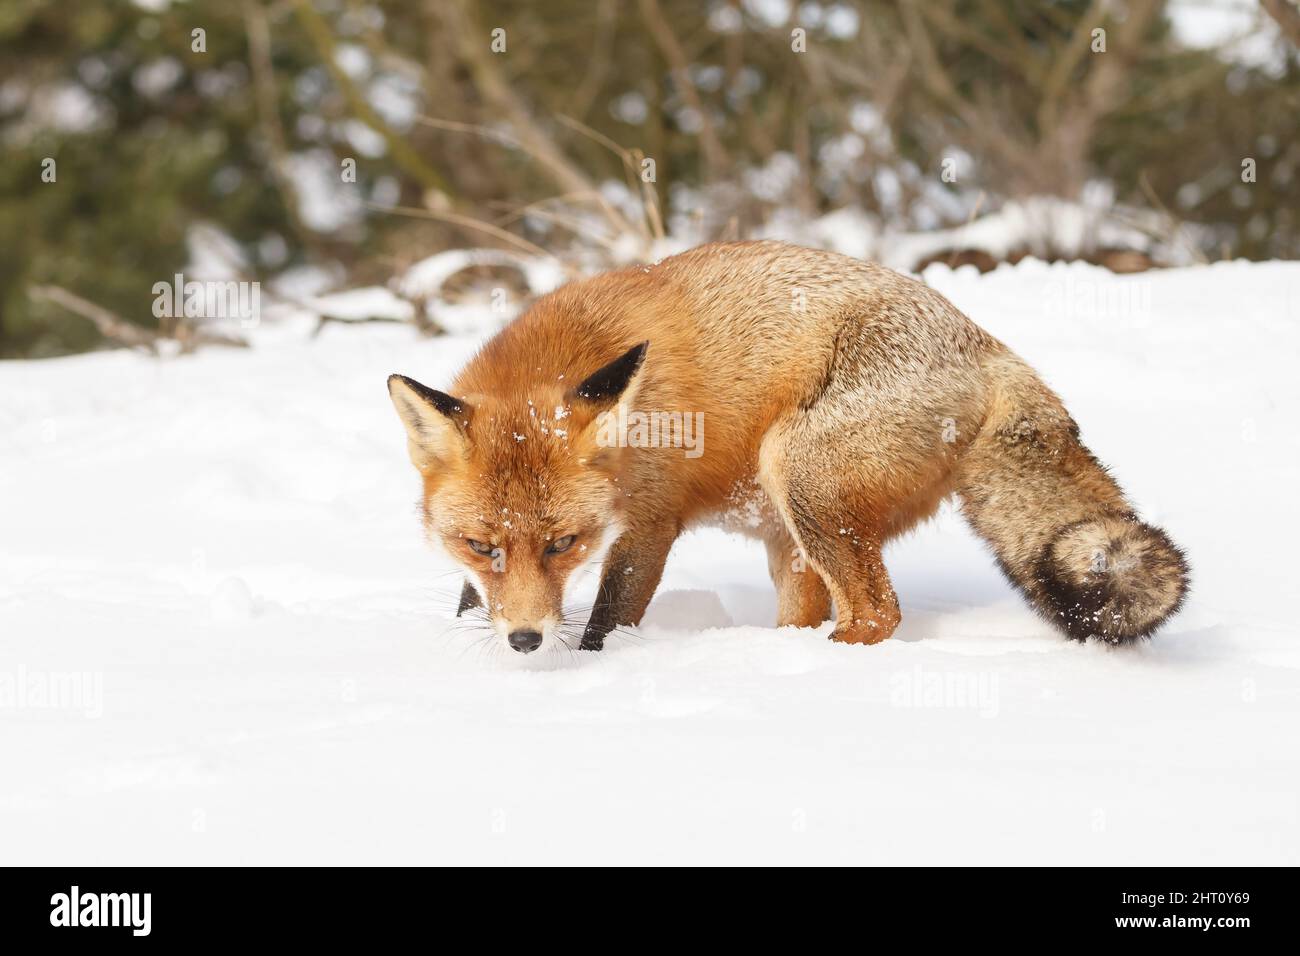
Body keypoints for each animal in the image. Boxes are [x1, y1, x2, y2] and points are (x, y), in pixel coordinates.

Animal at [387, 240, 1188, 655]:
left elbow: (607, 621)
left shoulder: (649, 522)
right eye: (481, 545)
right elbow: (471, 600)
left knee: (878, 616)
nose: (524, 641)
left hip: (796, 471)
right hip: (788, 531)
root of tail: (992, 350)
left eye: (564, 545)